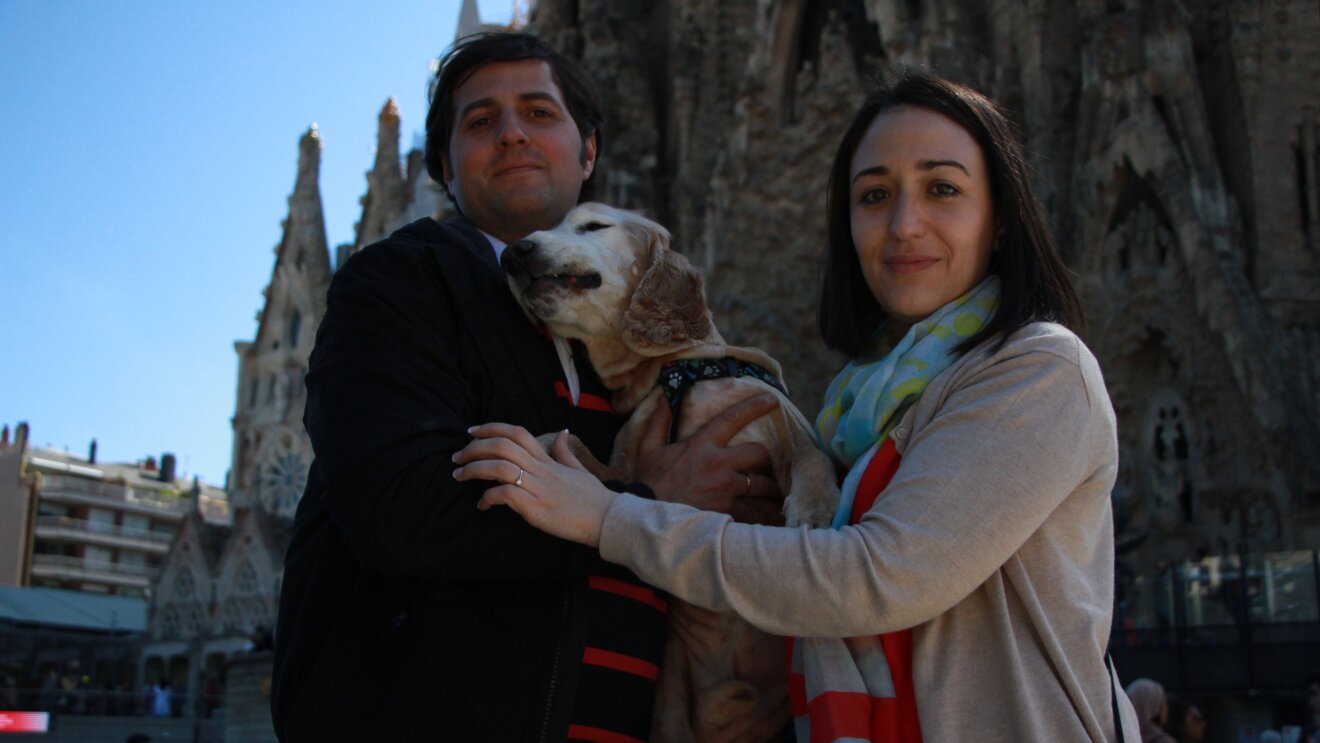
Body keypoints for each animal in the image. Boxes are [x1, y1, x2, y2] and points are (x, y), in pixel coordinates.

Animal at [498, 201, 839, 743]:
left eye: (594, 225)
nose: (513, 252)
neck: (677, 373)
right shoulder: (624, 464)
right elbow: (574, 446)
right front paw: (534, 447)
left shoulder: (787, 432)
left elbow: (813, 458)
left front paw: (812, 511)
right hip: (671, 700)